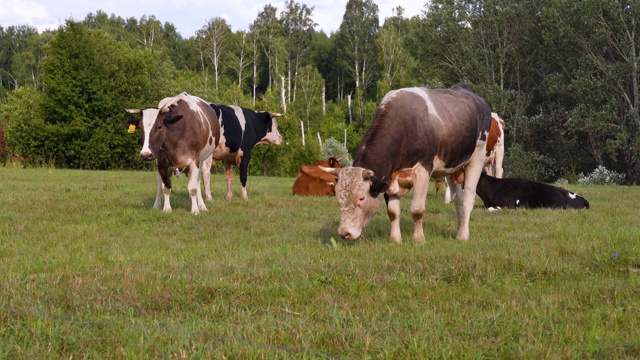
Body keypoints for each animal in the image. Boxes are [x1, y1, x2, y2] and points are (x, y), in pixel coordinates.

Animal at [320, 86, 490, 243]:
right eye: (338, 197)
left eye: (361, 198)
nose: (344, 233)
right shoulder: (389, 177)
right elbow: (393, 212)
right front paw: (395, 240)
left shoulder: (422, 171)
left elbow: (417, 210)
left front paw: (419, 239)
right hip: (451, 167)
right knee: (458, 199)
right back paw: (459, 231)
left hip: (477, 157)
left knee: (468, 198)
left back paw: (463, 235)